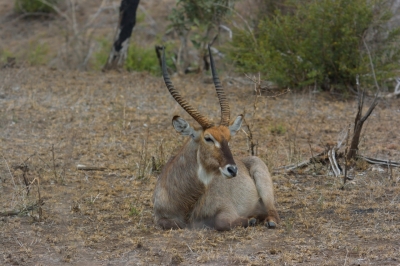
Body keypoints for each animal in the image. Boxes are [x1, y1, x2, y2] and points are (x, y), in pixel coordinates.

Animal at [152, 45, 280, 231]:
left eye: (228, 138)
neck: (184, 201)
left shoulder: (226, 210)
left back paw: (266, 219)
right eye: (208, 138)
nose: (233, 170)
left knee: (272, 211)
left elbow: (221, 222)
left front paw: (251, 219)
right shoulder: (161, 217)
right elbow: (171, 224)